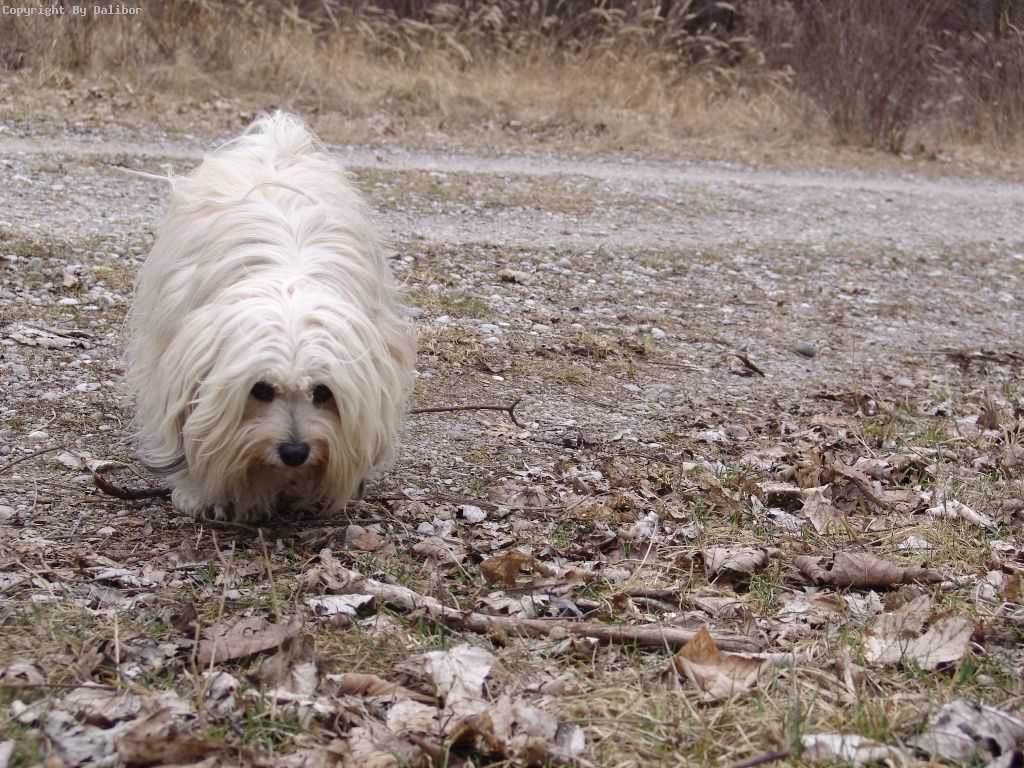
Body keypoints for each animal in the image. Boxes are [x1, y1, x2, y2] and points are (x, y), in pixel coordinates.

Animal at [126, 112, 415, 522]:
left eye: (322, 392)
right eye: (260, 389)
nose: (294, 452)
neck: (287, 287)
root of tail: (278, 145)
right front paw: (199, 492)